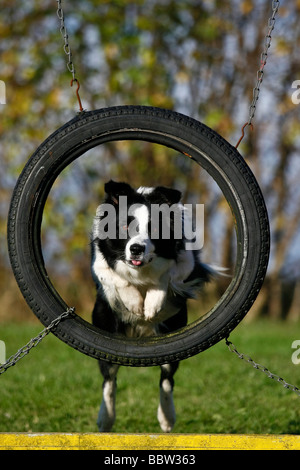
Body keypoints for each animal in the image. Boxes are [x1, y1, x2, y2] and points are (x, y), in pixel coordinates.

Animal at [90, 181, 210, 434]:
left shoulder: (185, 263)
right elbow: (115, 277)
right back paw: (106, 419)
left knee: (166, 380)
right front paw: (134, 302)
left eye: (154, 228)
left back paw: (167, 417)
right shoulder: (101, 263)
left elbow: (167, 276)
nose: (136, 248)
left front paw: (152, 303)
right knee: (109, 380)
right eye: (125, 225)